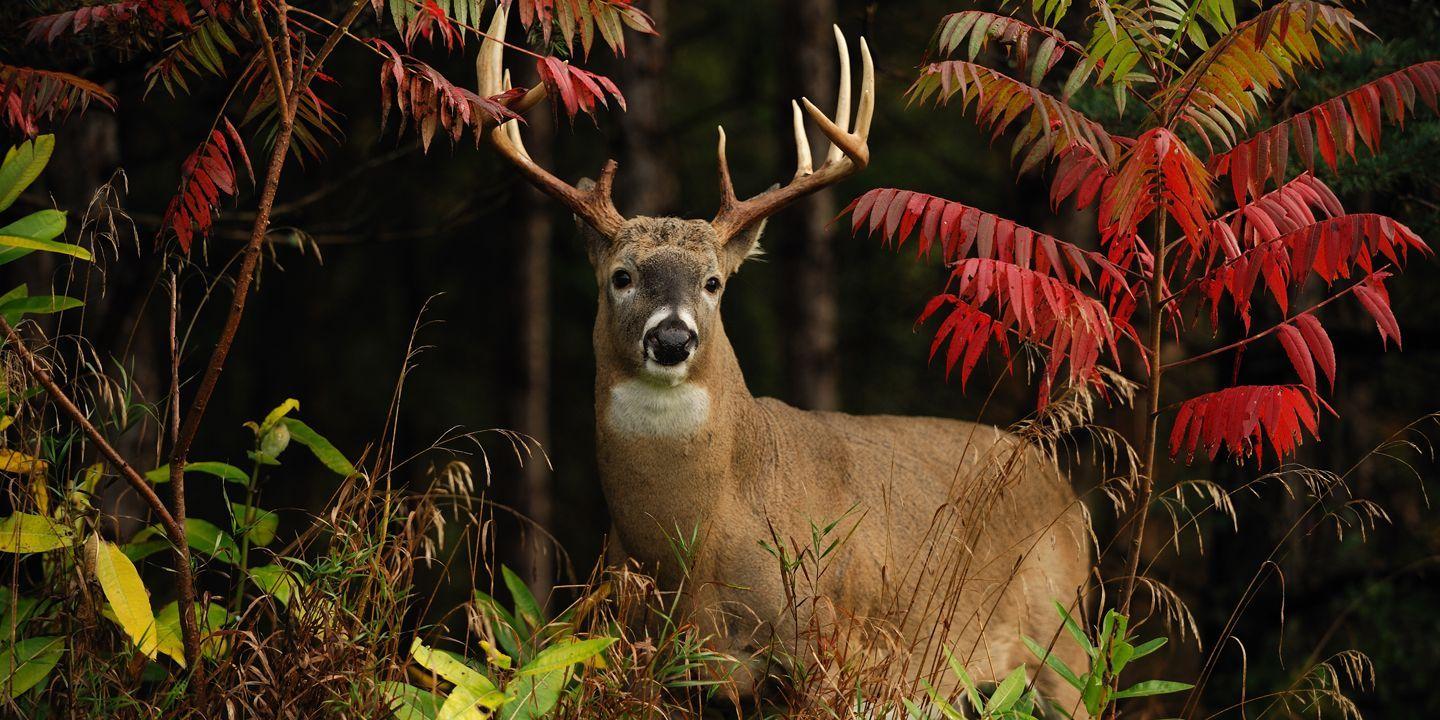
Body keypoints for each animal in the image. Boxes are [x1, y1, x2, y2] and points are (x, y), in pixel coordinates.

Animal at [478, 9, 1091, 716]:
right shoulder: (656, 661)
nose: (672, 339)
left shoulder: (829, 647)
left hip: (1062, 639)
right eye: (622, 277)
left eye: (714, 282)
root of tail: (1070, 498)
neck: (701, 546)